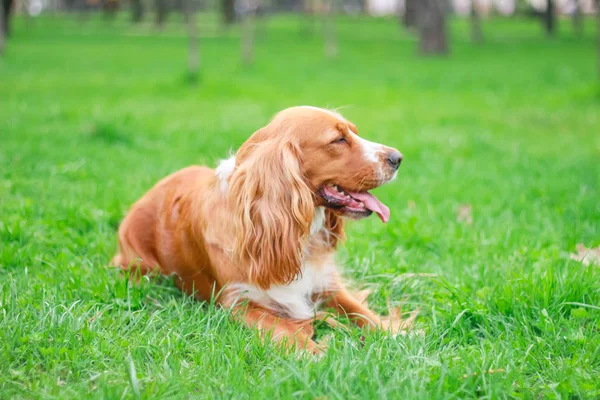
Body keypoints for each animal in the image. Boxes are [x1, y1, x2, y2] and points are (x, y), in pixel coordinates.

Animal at [112, 106, 404, 354]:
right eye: (338, 140)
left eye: (353, 132)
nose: (397, 158)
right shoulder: (239, 302)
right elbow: (285, 330)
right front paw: (317, 353)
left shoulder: (327, 284)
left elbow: (361, 311)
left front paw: (396, 332)